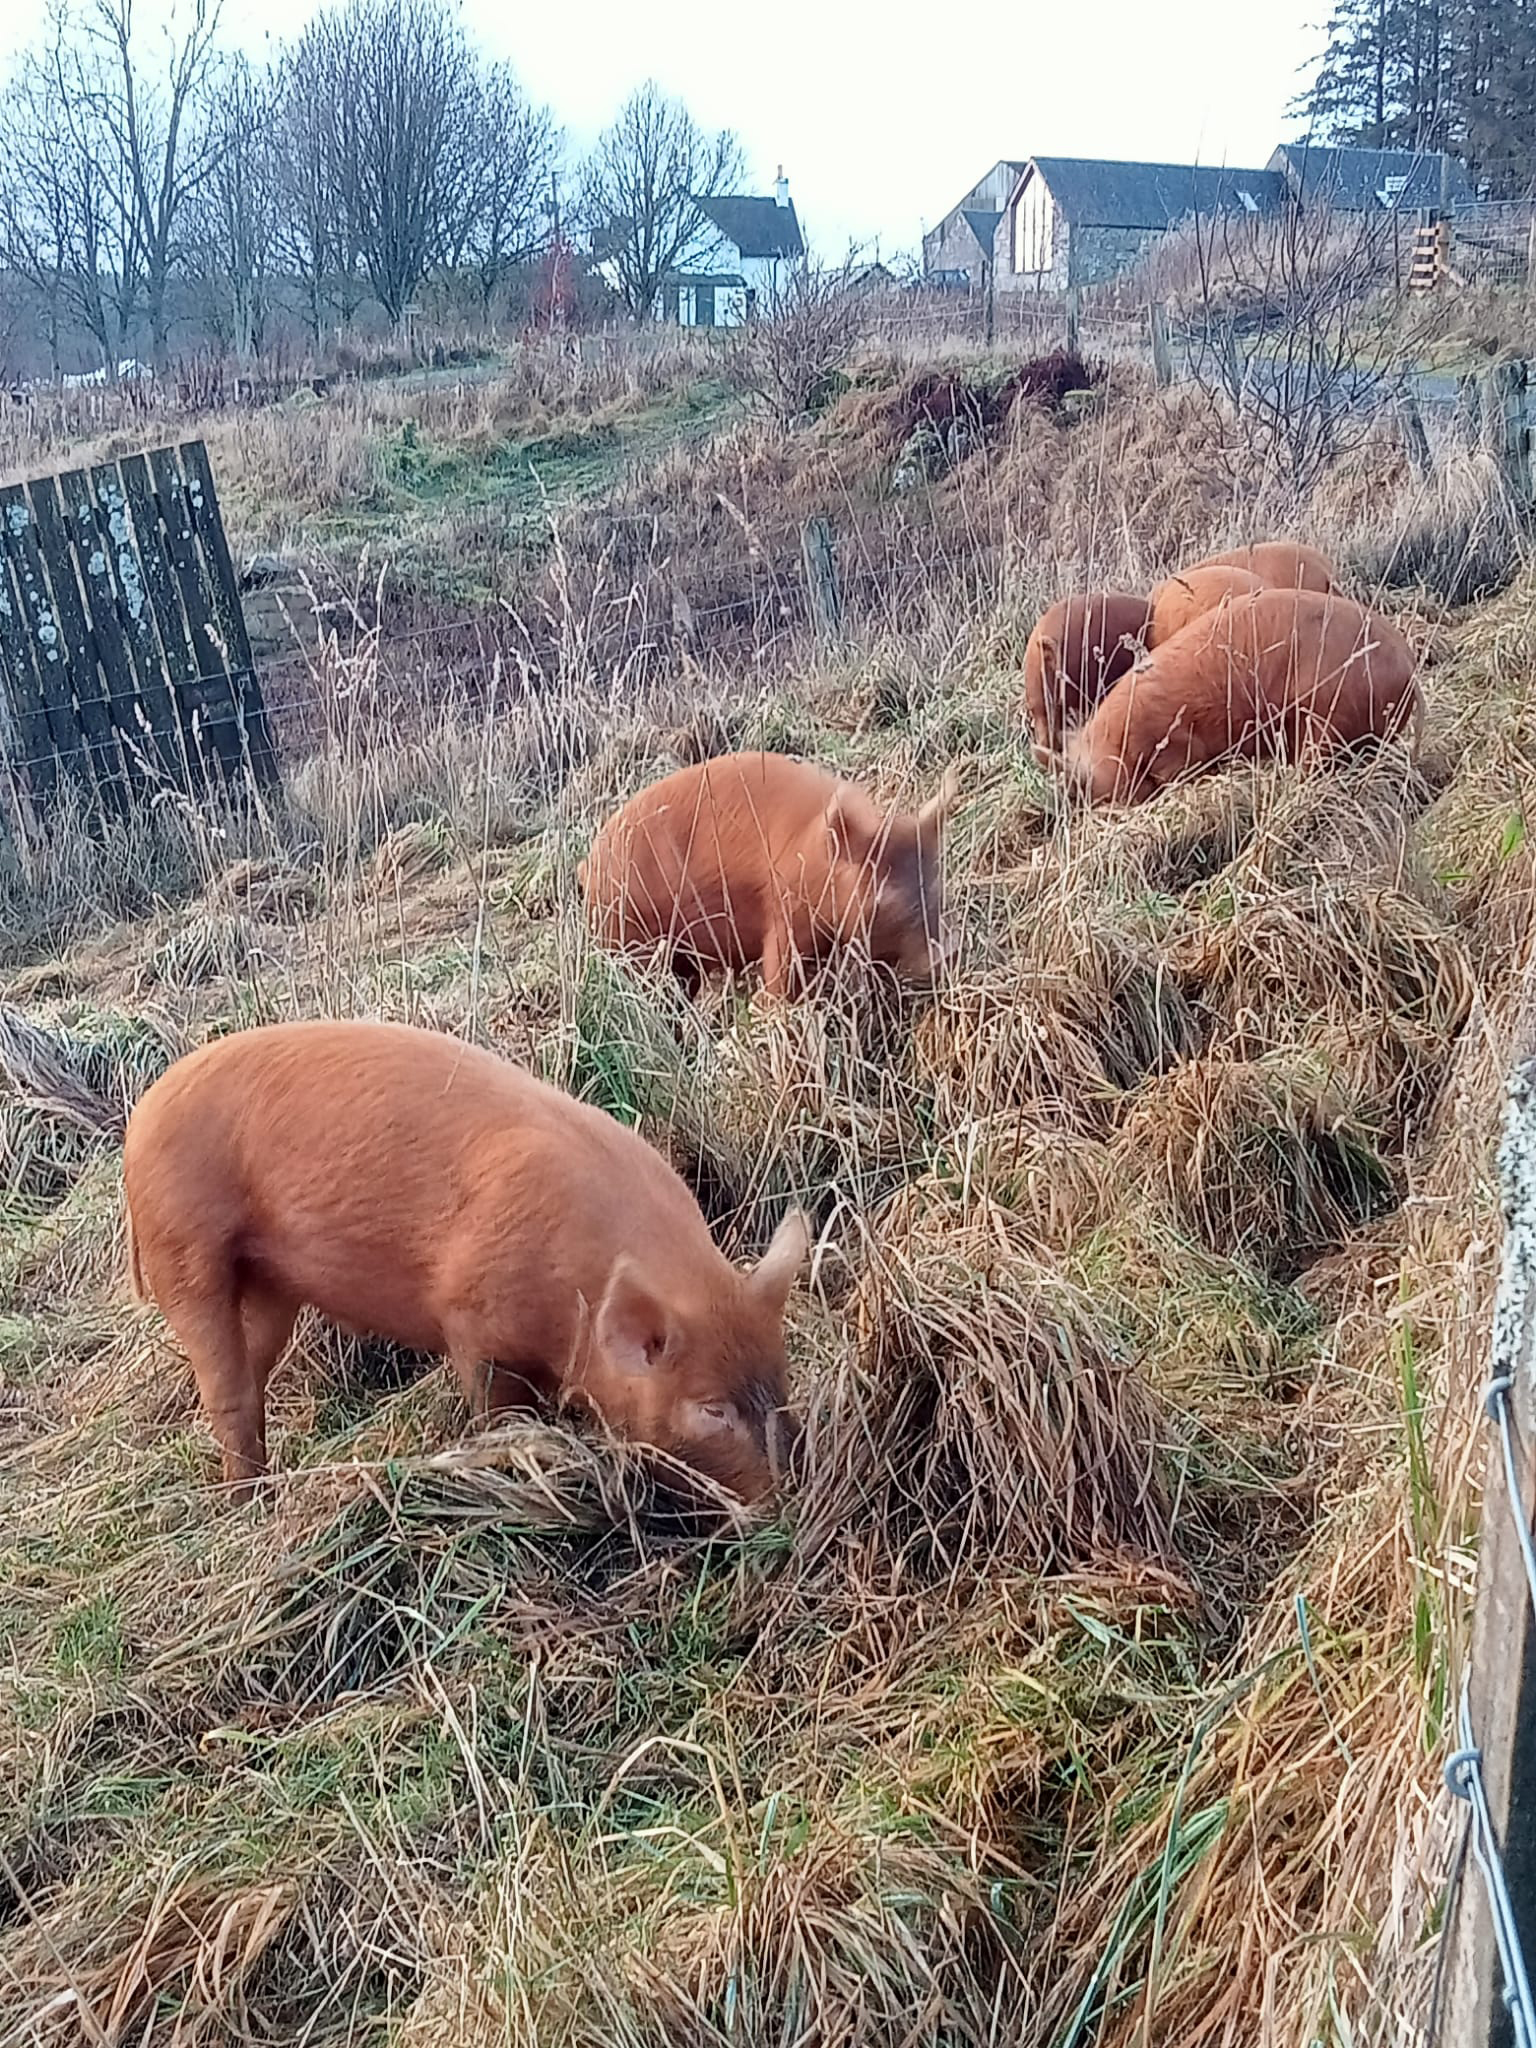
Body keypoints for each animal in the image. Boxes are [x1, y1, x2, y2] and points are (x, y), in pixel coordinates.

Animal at [123, 1019, 810, 1503]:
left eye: (781, 1376)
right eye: (711, 1409)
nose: (792, 1498)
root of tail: (140, 1118)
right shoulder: (470, 1318)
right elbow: (496, 1407)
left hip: (270, 1279)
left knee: (253, 1365)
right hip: (181, 1244)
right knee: (225, 1386)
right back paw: (246, 1503)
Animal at [579, 751, 961, 999]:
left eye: (935, 884)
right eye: (885, 899)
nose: (947, 953)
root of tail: (589, 864)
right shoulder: (784, 920)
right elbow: (779, 981)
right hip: (627, 940)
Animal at [1057, 588, 1420, 807]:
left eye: (1090, 782)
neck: (1115, 738)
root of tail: (1408, 666)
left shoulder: (1174, 740)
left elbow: (1180, 766)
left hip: (1326, 715)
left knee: (1318, 758)